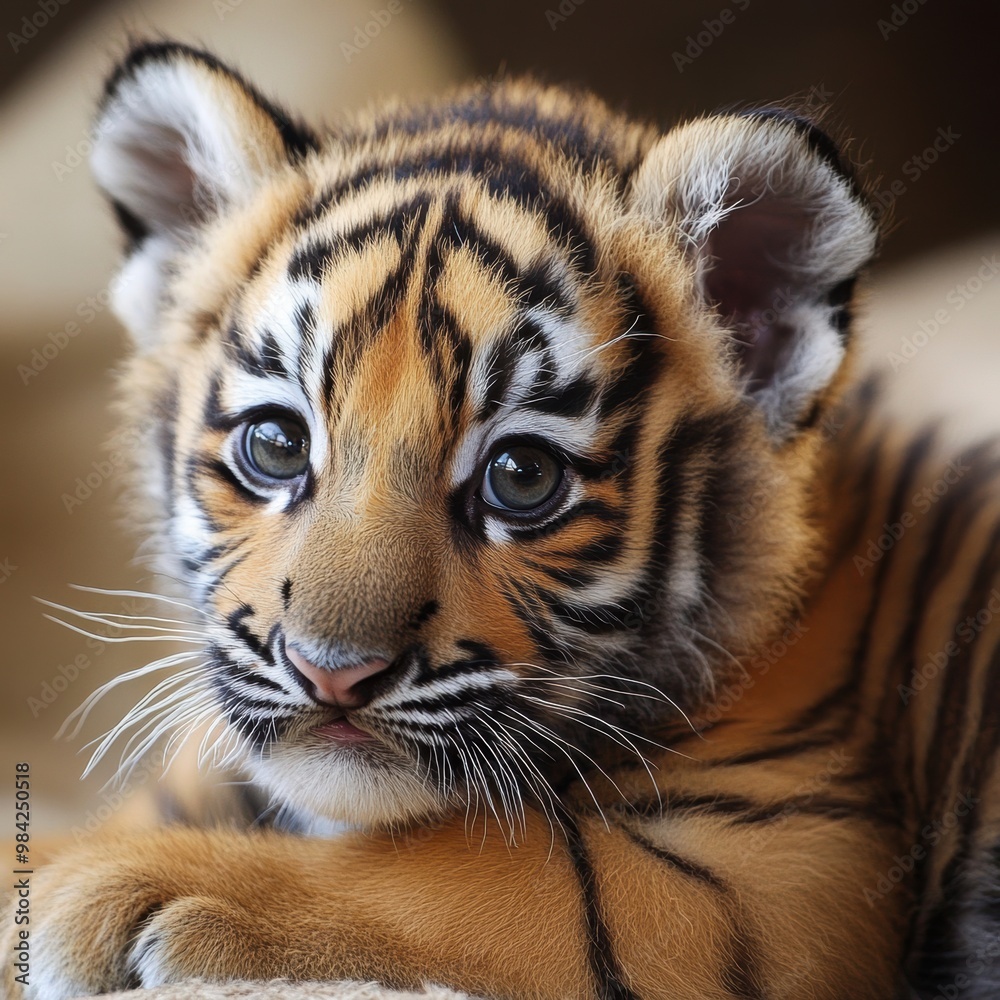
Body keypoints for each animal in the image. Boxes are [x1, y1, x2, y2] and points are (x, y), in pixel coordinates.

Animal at [4, 37, 1000, 1000]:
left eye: (521, 478)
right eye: (277, 446)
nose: (332, 675)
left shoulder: (769, 869)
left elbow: (446, 870)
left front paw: (92, 886)